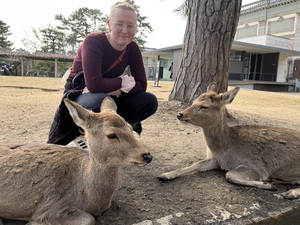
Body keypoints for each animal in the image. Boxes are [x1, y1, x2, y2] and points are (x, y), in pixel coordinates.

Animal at [0, 97, 152, 225]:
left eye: (131, 128)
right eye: (111, 135)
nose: (147, 156)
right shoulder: (50, 206)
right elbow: (88, 219)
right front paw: (34, 223)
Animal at [157, 82, 300, 199]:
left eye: (204, 106)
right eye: (193, 101)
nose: (180, 114)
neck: (224, 149)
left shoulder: (256, 166)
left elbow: (230, 175)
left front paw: (268, 184)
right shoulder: (215, 159)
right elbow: (196, 164)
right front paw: (165, 174)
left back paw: (290, 192)